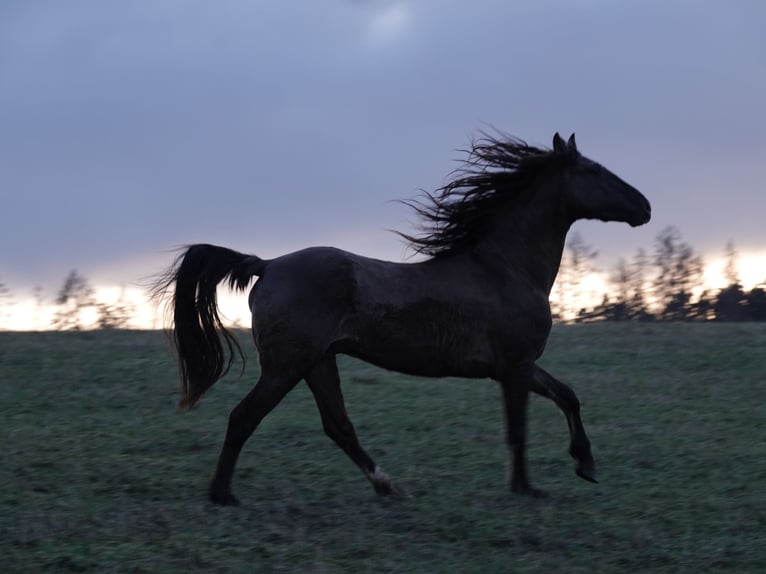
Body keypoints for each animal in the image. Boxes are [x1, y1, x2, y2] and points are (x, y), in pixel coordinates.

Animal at [156, 132, 651, 505]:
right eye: (593, 171)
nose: (645, 206)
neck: (505, 268)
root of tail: (269, 264)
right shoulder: (515, 367)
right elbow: (520, 429)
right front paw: (528, 489)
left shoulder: (515, 368)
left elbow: (567, 396)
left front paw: (585, 464)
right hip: (286, 366)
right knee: (245, 417)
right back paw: (222, 494)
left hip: (317, 363)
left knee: (338, 426)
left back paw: (388, 485)